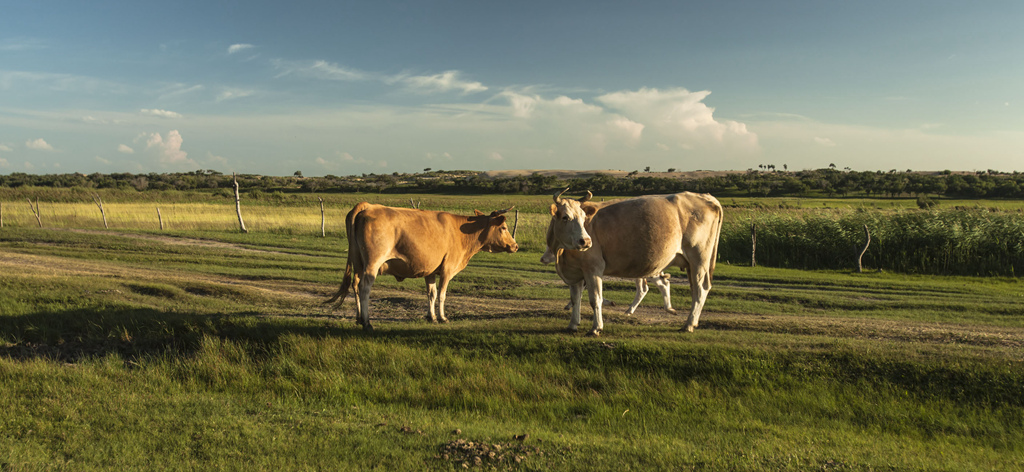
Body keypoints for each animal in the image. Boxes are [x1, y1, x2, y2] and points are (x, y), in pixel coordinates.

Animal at [327, 200, 520, 329]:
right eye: (504, 228)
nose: (515, 246)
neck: (463, 233)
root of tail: (367, 206)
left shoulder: (430, 270)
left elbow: (431, 294)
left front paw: (431, 316)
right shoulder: (447, 269)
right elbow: (442, 294)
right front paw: (442, 317)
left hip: (358, 263)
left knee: (355, 285)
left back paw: (359, 318)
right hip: (372, 264)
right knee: (364, 288)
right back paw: (367, 322)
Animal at [544, 188, 720, 335]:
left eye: (583, 218)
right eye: (565, 217)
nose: (585, 241)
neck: (561, 253)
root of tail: (706, 197)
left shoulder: (593, 269)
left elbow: (595, 299)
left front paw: (596, 328)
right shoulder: (575, 272)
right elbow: (576, 299)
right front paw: (573, 324)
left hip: (699, 259)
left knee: (701, 289)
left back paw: (689, 324)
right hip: (691, 265)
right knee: (693, 289)